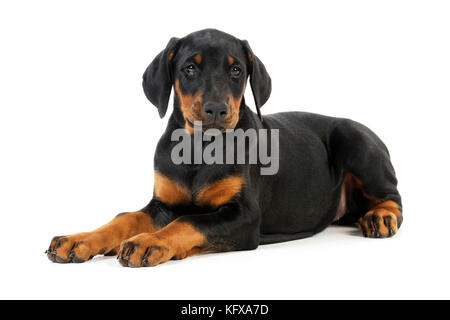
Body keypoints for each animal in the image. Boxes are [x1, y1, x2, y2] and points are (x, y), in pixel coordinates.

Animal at [46, 29, 404, 268]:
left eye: (236, 70)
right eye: (190, 68)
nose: (216, 110)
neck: (199, 150)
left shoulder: (244, 217)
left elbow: (190, 222)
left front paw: (150, 242)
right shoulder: (162, 204)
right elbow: (125, 218)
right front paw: (79, 239)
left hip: (355, 140)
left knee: (393, 196)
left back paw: (380, 217)